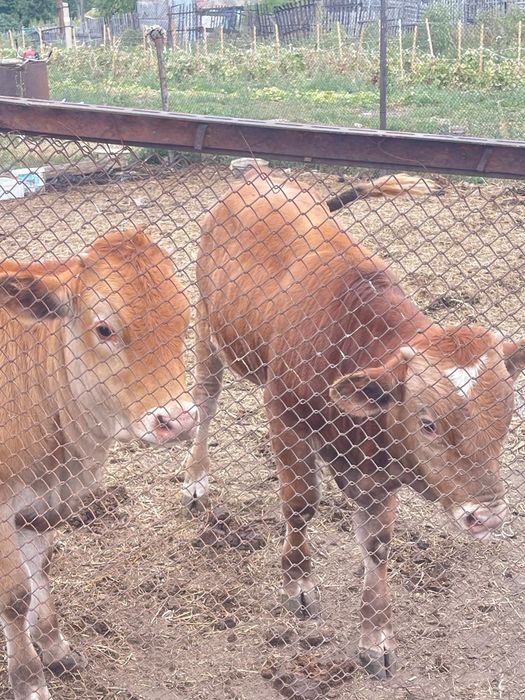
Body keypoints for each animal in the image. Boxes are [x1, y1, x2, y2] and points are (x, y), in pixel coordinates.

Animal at [0, 229, 198, 700]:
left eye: (184, 320)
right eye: (105, 328)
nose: (179, 420)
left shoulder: (36, 505)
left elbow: (39, 571)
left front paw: (54, 647)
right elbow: (14, 595)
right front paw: (29, 681)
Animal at [183, 171, 525, 679]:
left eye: (506, 417)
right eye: (428, 424)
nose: (487, 515)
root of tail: (259, 175)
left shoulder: (379, 473)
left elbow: (378, 546)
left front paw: (375, 636)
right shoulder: (284, 417)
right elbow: (300, 506)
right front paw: (298, 583)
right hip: (209, 330)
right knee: (206, 402)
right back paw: (195, 479)